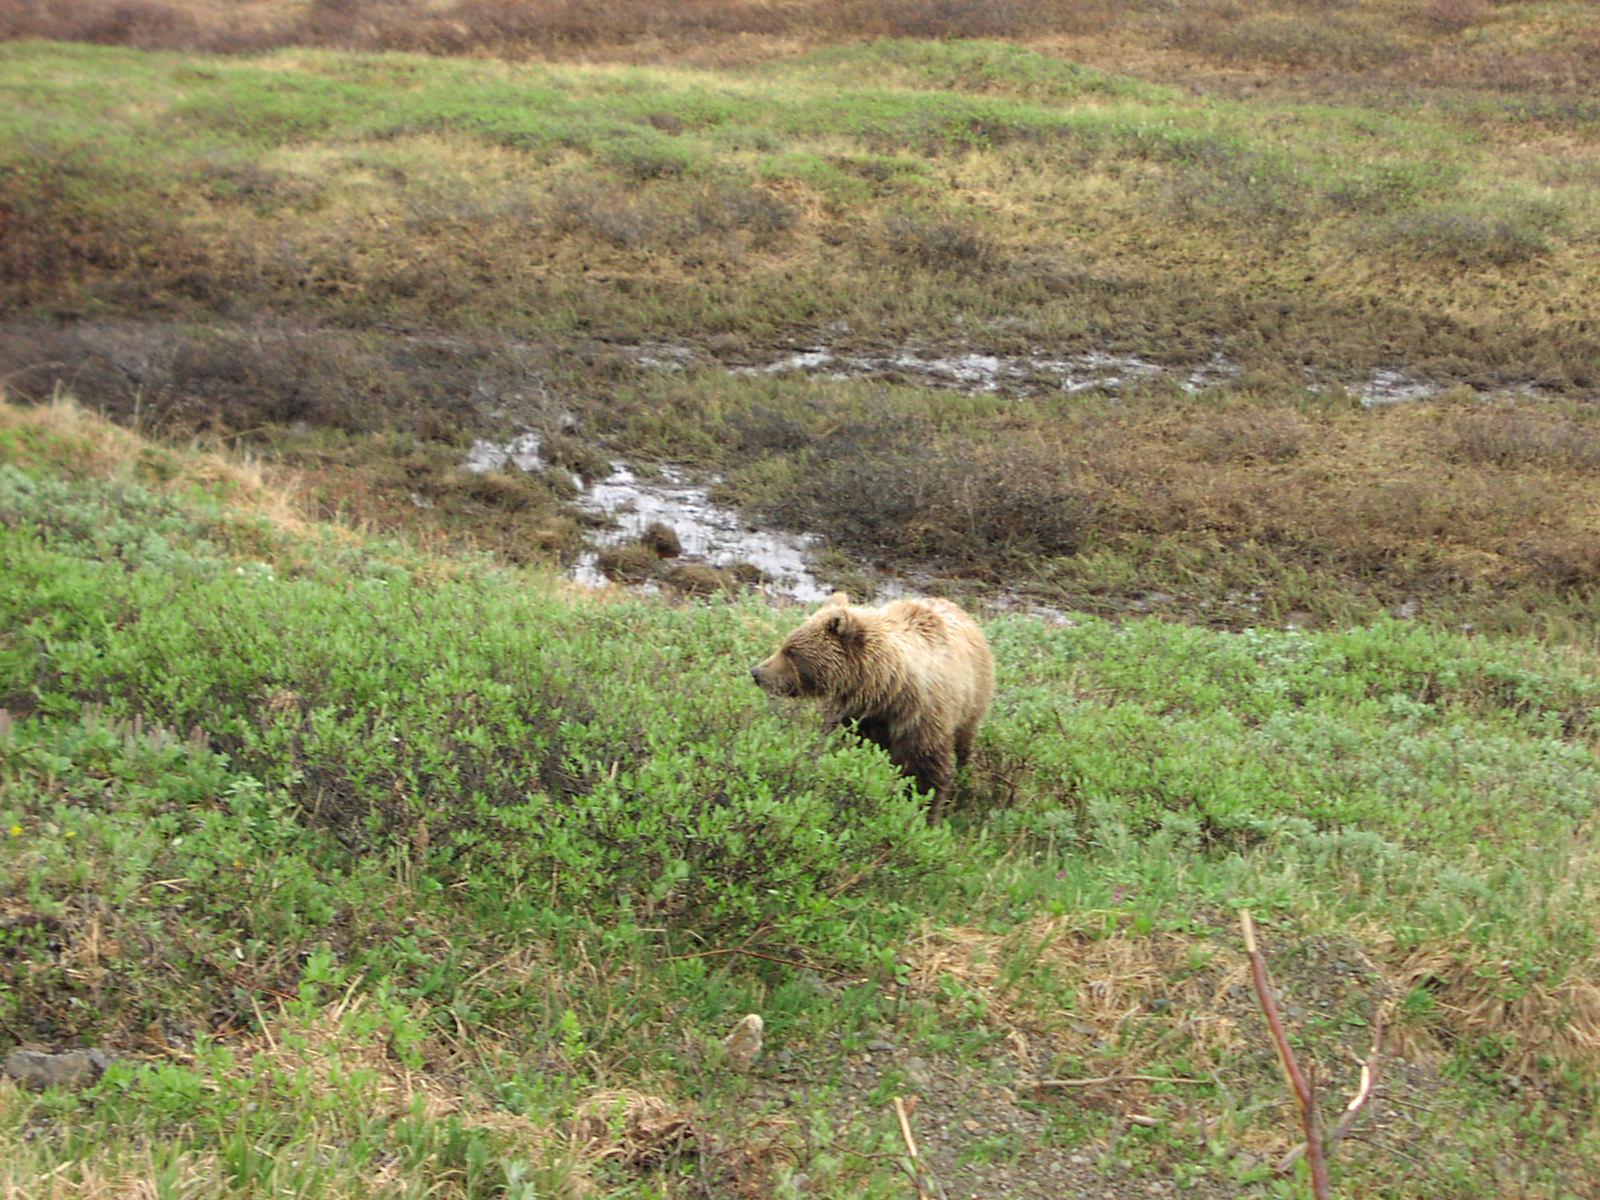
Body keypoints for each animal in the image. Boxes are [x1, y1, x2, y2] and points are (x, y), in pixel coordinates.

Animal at [750, 592, 994, 820]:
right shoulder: (850, 716)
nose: (757, 672)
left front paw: (925, 815)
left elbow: (928, 774)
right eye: (786, 644)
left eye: (791, 651)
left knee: (964, 744)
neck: (885, 691)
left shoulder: (923, 721)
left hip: (972, 703)